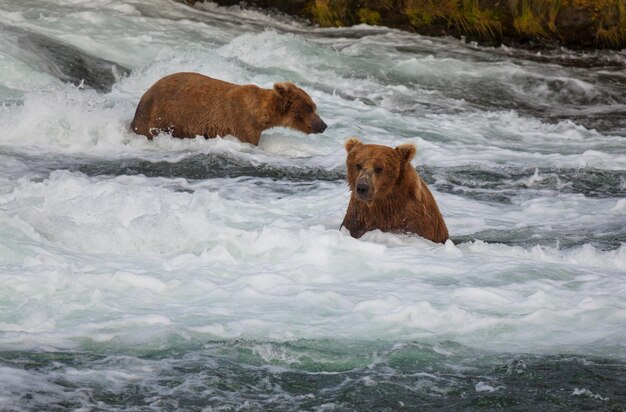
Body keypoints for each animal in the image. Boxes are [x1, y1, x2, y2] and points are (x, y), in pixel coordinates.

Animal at [131, 72, 326, 145]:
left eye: (314, 106)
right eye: (309, 108)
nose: (323, 125)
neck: (260, 115)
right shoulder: (243, 123)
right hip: (161, 115)